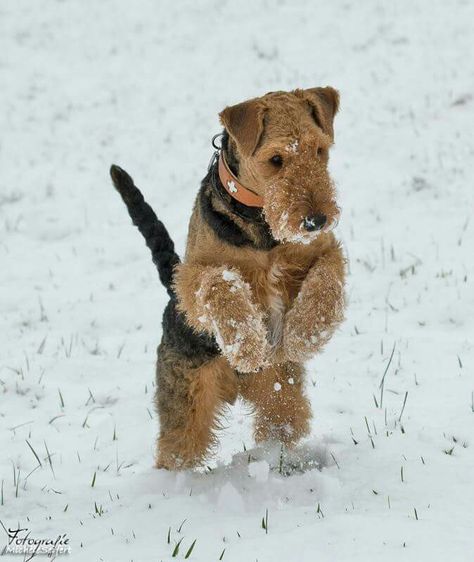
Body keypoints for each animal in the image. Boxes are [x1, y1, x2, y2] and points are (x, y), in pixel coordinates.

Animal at [109, 85, 346, 468]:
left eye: (320, 149)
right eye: (276, 159)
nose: (315, 220)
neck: (262, 227)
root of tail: (235, 386)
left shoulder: (323, 250)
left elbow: (326, 281)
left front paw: (302, 337)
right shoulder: (193, 275)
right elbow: (221, 285)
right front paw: (247, 346)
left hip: (280, 396)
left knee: (281, 424)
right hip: (187, 401)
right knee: (177, 447)